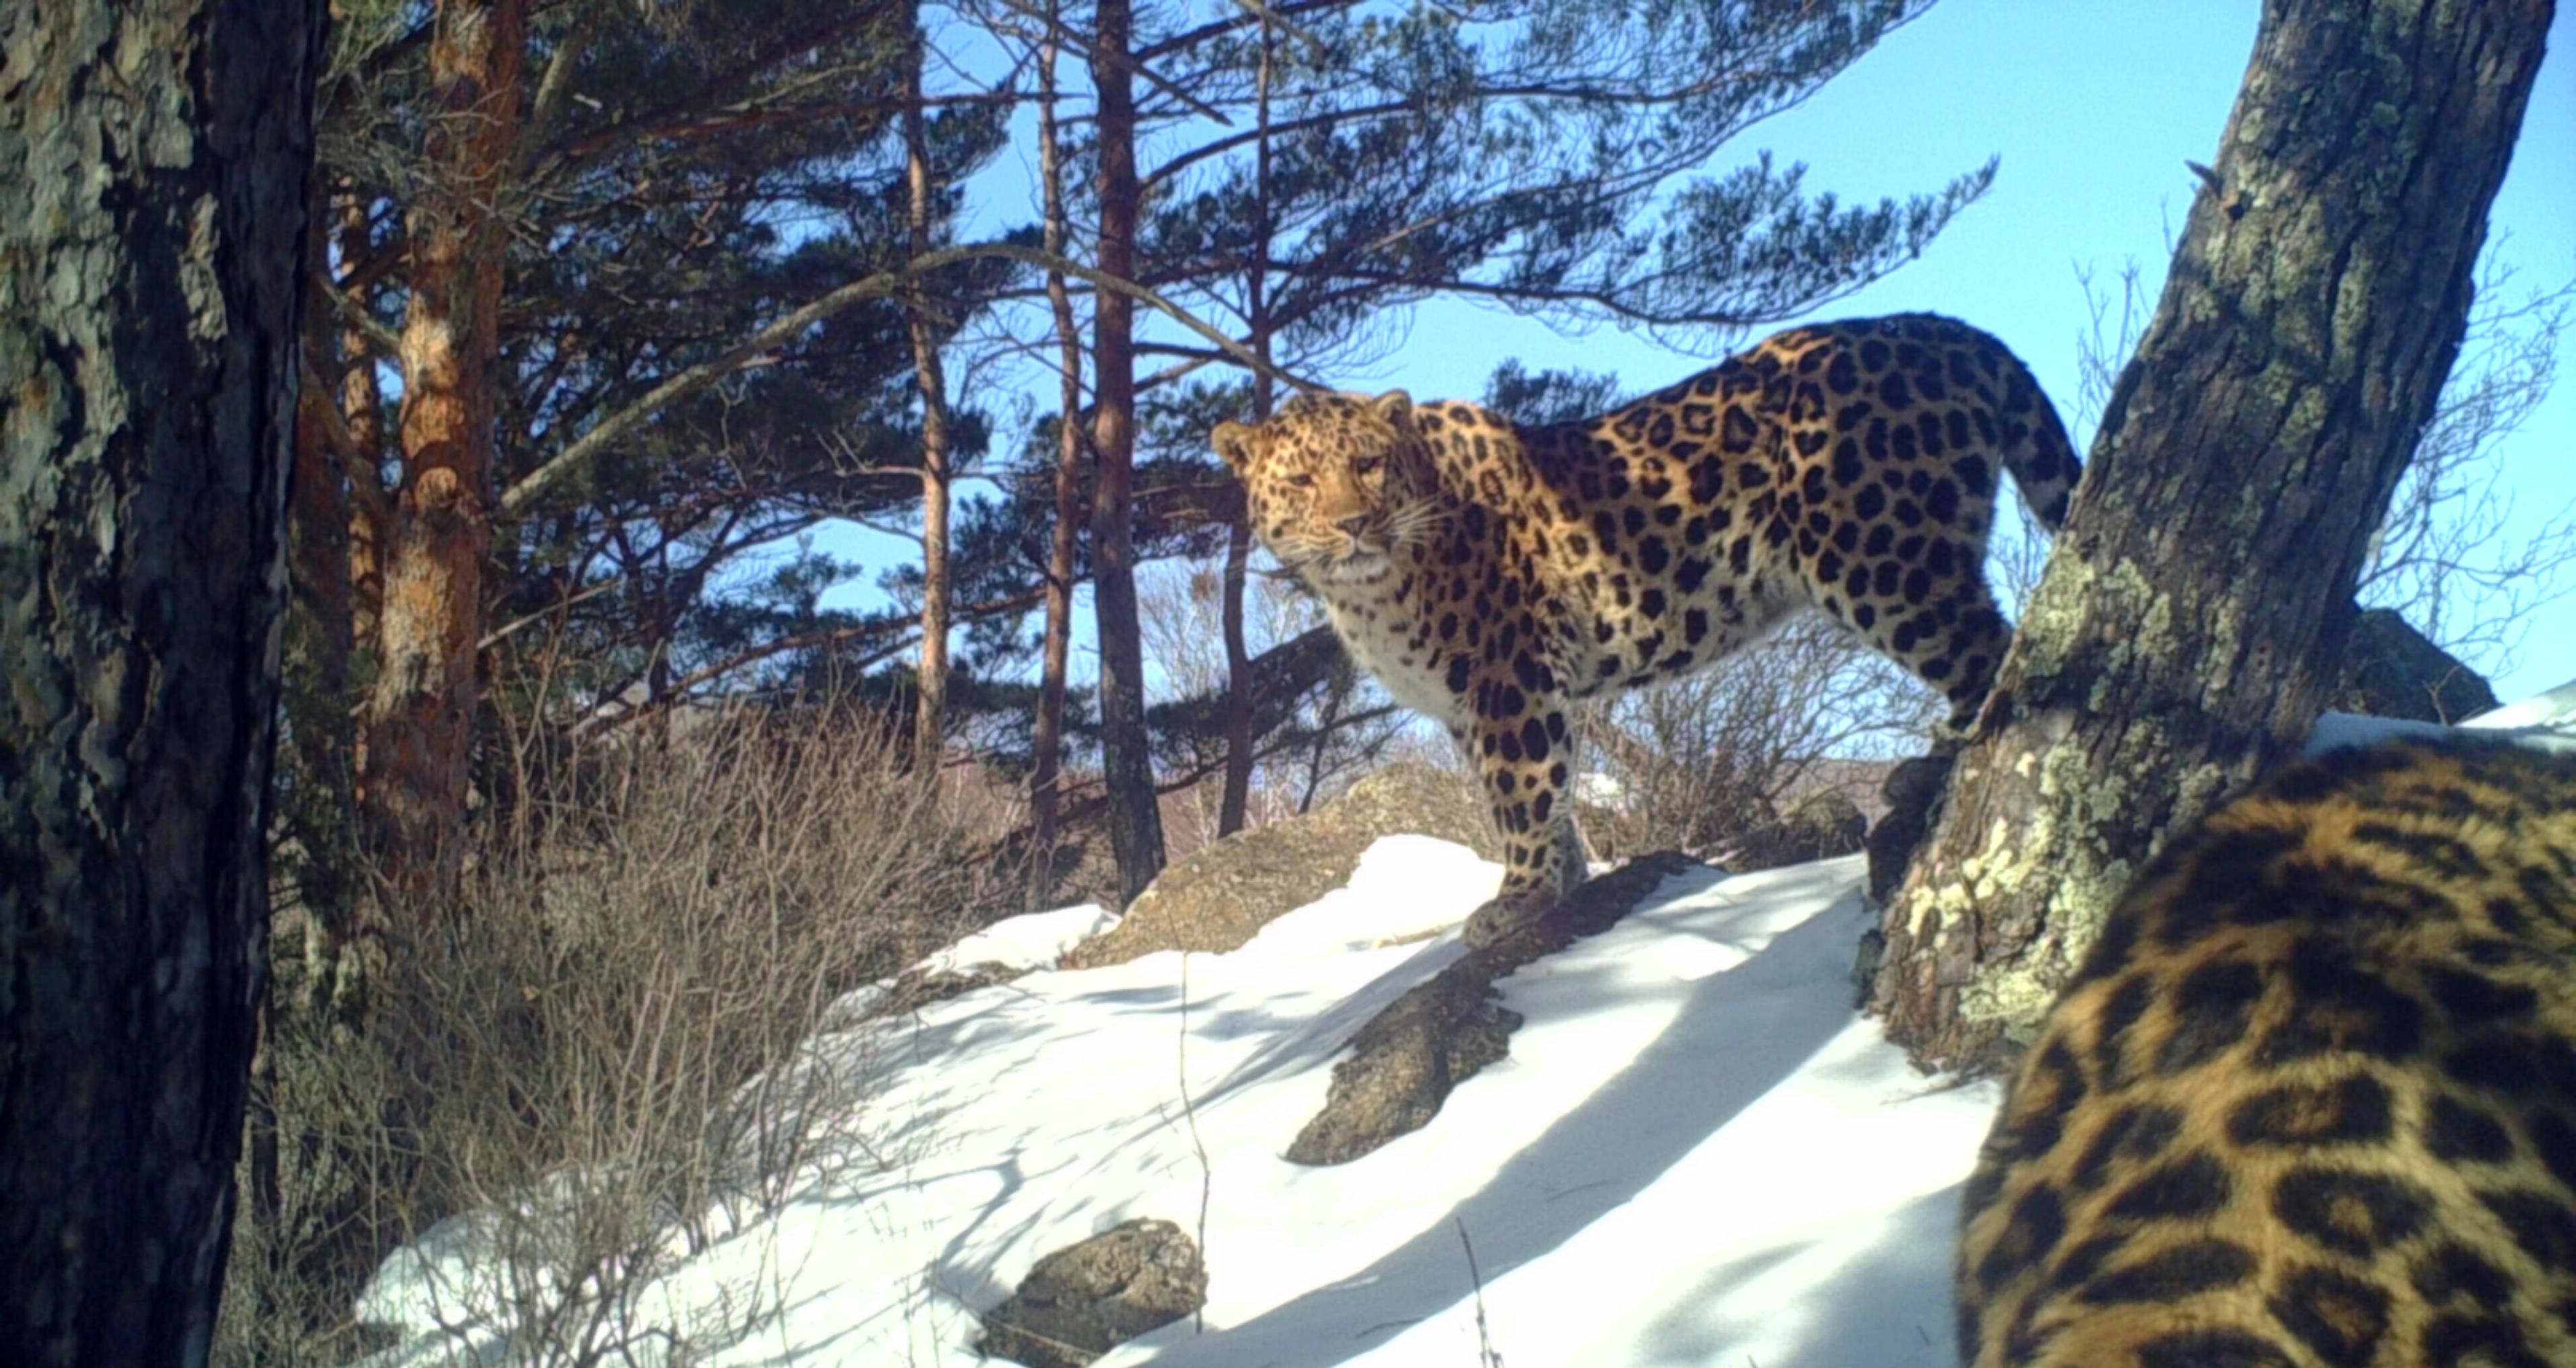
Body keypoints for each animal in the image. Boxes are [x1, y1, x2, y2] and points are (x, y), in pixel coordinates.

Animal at [1216, 314, 2081, 948]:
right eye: (1301, 481)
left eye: (1367, 465)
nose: (1355, 524)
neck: (1365, 590)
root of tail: (1951, 330)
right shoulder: (1466, 703)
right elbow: (1533, 798)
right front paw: (1563, 881)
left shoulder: (1509, 674)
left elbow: (1523, 791)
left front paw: (1519, 898)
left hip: (1881, 554)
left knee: (1990, 656)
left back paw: (1935, 769)